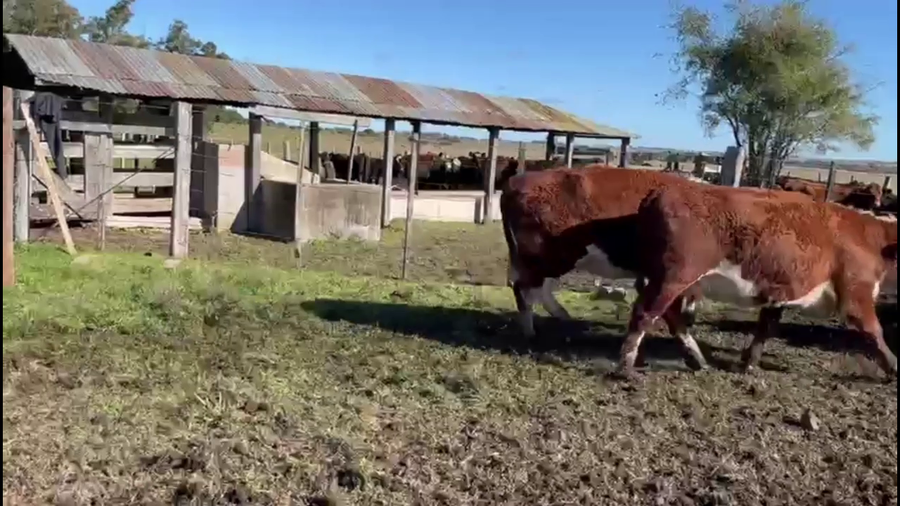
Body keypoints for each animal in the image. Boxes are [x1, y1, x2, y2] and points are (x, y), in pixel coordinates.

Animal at [616, 183, 898, 379]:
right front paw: (894, 367)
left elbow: (765, 328)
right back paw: (626, 368)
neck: (872, 237)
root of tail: (660, 192)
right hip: (673, 278)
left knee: (670, 316)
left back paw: (697, 359)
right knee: (645, 314)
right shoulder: (856, 293)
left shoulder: (779, 292)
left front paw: (750, 363)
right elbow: (875, 330)